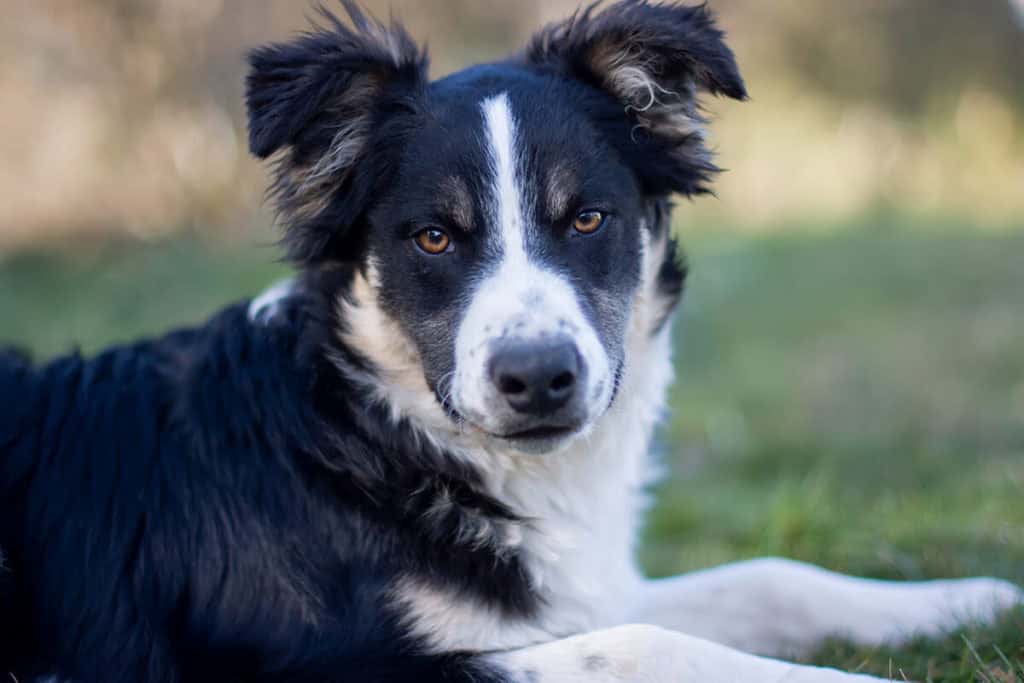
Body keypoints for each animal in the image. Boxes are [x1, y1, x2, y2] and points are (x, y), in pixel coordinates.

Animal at [4, 1, 1019, 683]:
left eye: (588, 218)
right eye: (432, 237)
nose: (538, 377)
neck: (383, 434)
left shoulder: (565, 595)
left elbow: (772, 576)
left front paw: (967, 598)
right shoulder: (344, 662)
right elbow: (643, 644)